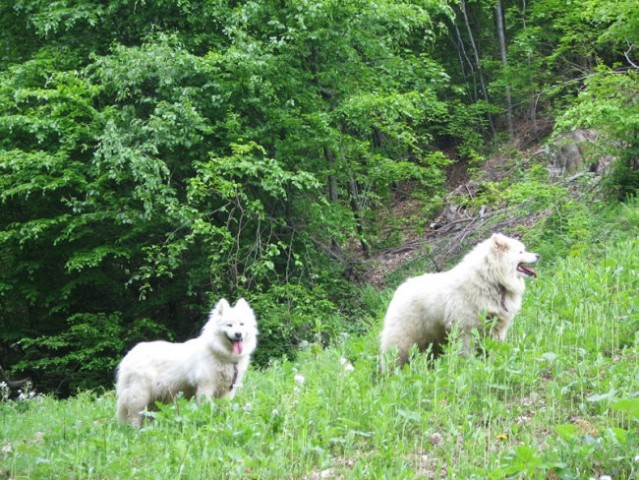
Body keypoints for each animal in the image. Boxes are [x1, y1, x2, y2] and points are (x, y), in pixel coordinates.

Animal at [115, 298, 258, 426]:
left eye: (242, 324)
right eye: (229, 325)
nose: (238, 334)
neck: (223, 356)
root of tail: (129, 355)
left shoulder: (228, 391)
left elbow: (224, 408)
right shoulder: (206, 387)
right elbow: (206, 407)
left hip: (155, 399)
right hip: (140, 396)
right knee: (134, 416)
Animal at [380, 232, 540, 368]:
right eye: (521, 252)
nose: (538, 255)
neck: (490, 280)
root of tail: (399, 290)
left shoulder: (496, 327)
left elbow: (495, 346)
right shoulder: (466, 329)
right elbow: (467, 350)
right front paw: (470, 364)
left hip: (432, 339)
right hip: (405, 338)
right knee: (394, 357)